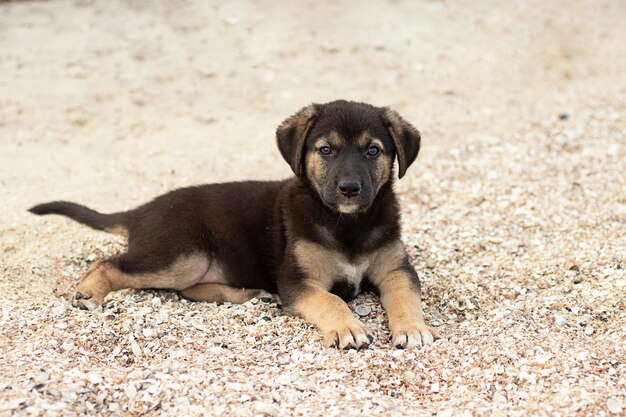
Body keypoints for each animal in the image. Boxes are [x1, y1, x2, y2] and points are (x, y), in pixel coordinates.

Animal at [29, 100, 438, 348]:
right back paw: (88, 292)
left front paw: (413, 329)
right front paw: (348, 327)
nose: (350, 189)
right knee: (109, 263)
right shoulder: (298, 280)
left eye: (373, 150)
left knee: (187, 290)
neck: (348, 224)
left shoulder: (396, 269)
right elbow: (330, 299)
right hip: (182, 255)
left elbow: (405, 296)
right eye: (325, 150)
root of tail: (142, 210)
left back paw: (248, 294)